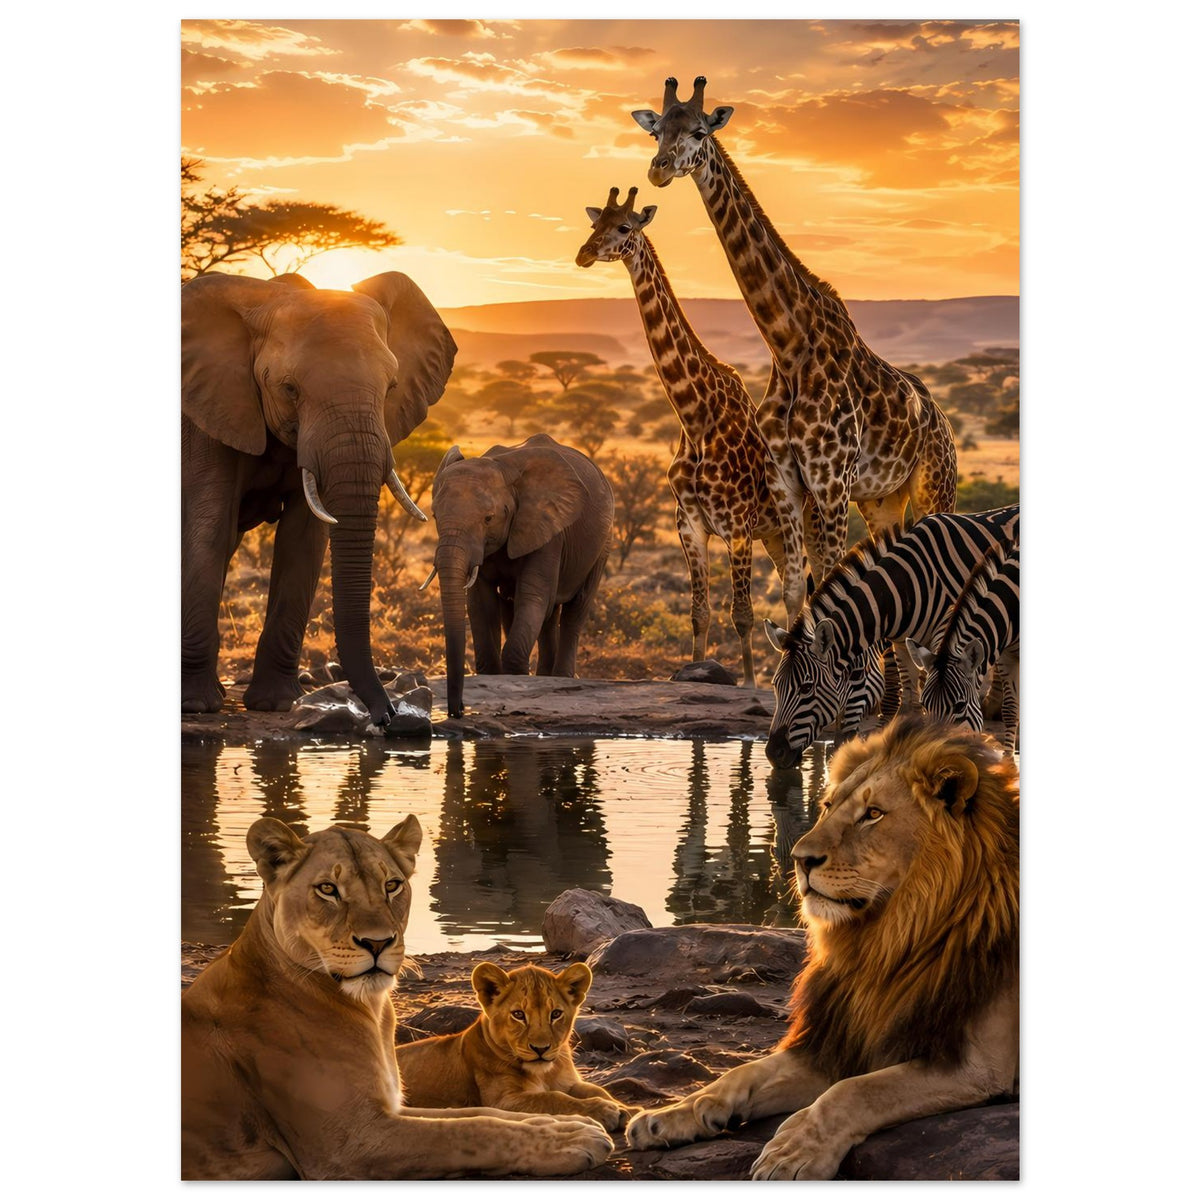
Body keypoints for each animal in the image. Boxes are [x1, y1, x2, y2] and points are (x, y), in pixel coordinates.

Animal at [395, 962, 635, 1132]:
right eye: (518, 1015)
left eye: (556, 1014)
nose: (541, 1049)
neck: (544, 1074)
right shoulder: (502, 1101)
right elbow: (553, 1098)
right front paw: (603, 1110)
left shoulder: (569, 1083)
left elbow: (596, 1090)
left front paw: (627, 1109)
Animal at [627, 715, 1019, 1180]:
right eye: (829, 806)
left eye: (873, 814)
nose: (799, 859)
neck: (889, 938)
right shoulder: (842, 1038)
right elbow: (744, 1072)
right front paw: (673, 1114)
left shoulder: (979, 1067)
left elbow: (856, 1091)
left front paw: (794, 1151)